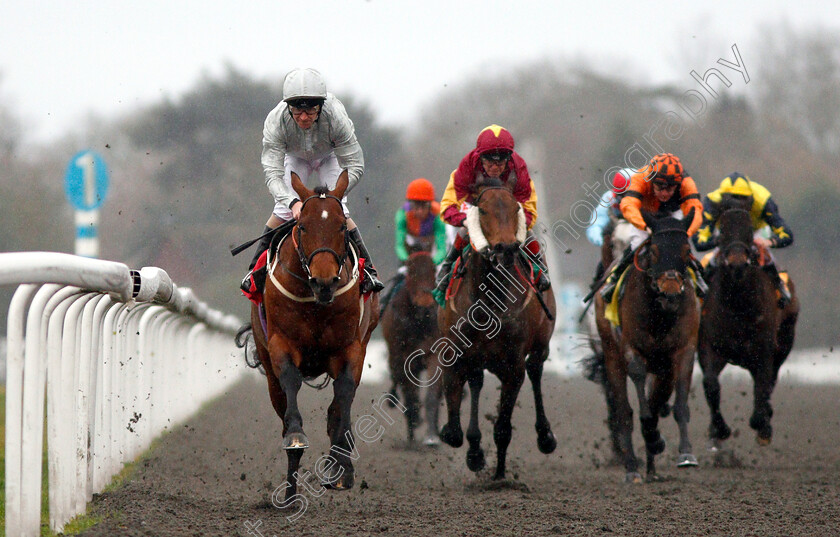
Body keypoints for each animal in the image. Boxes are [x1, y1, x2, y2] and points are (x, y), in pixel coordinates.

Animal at [249, 171, 378, 498]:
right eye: (303, 226)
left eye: (342, 226)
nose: (325, 282)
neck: (314, 301)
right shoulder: (280, 345)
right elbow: (291, 387)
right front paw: (296, 438)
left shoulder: (351, 349)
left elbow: (342, 400)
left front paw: (341, 467)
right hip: (268, 369)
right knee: (282, 404)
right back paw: (291, 492)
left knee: (338, 407)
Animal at [382, 253, 446, 446]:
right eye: (410, 272)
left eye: (433, 271)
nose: (425, 302)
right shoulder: (402, 357)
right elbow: (409, 391)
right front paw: (414, 418)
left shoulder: (435, 353)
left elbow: (432, 395)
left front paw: (431, 436)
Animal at [436, 182, 556, 480]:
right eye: (484, 210)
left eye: (515, 209)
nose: (506, 248)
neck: (488, 300)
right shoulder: (456, 353)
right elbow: (453, 432)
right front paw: (473, 451)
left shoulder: (513, 365)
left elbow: (502, 428)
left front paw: (499, 474)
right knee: (477, 382)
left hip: (541, 344)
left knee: (535, 371)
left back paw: (545, 436)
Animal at [592, 209, 700, 482]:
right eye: (654, 251)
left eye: (686, 250)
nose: (670, 293)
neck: (661, 315)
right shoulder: (632, 349)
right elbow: (640, 403)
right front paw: (651, 437)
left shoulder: (683, 351)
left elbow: (676, 404)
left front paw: (685, 453)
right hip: (611, 353)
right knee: (623, 411)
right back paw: (632, 467)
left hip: (662, 367)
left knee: (656, 399)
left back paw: (651, 467)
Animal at [696, 199, 800, 446]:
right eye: (722, 228)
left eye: (749, 229)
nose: (737, 264)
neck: (737, 304)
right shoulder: (709, 346)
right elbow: (710, 384)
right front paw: (720, 429)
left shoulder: (763, 350)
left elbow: (762, 386)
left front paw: (762, 425)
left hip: (784, 342)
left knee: (771, 380)